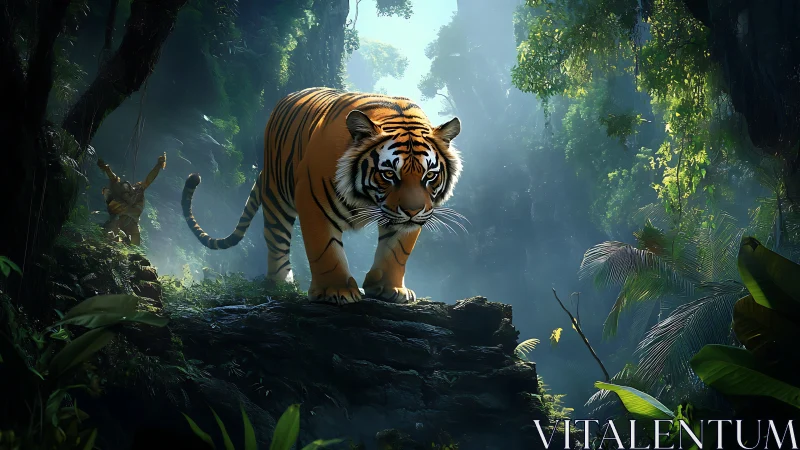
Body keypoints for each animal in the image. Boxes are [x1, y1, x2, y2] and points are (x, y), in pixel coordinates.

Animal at [181, 87, 463, 305]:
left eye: (429, 176)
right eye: (389, 174)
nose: (413, 211)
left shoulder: (408, 217)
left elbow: (396, 251)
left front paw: (390, 289)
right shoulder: (313, 199)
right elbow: (325, 250)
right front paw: (336, 290)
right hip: (276, 194)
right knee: (275, 237)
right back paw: (281, 284)